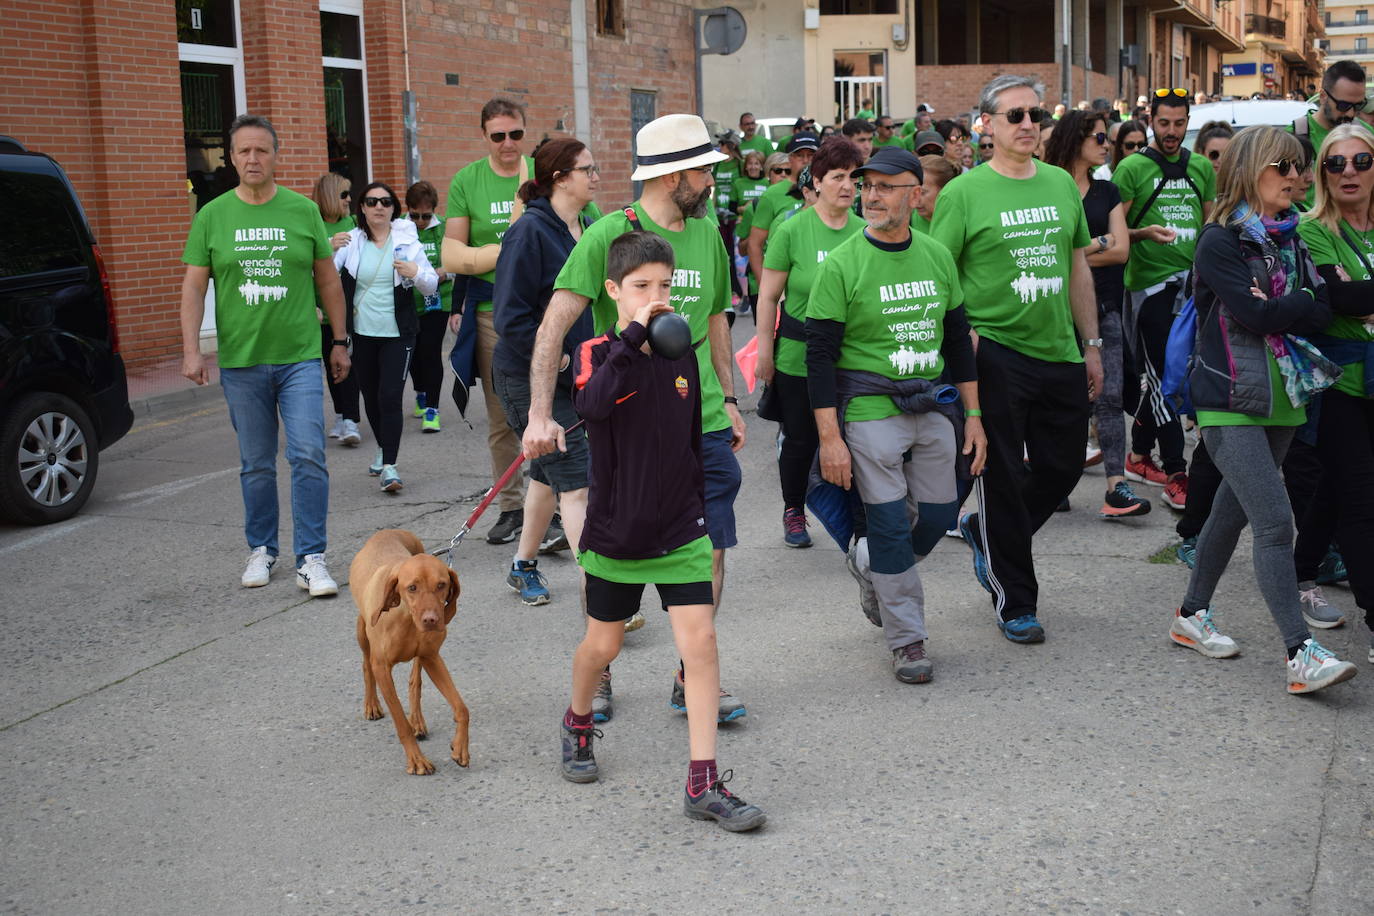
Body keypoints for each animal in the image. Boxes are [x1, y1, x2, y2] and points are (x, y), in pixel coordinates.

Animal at [351, 530, 469, 774]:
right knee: (366, 665)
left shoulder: (432, 657)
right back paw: (372, 705)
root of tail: (387, 531)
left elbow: (462, 709)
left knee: (415, 680)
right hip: (362, 630)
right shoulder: (382, 669)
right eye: (412, 587)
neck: (406, 618)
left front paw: (460, 748)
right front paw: (417, 760)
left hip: (423, 656)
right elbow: (400, 722)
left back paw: (417, 720)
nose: (431, 620)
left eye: (442, 584)